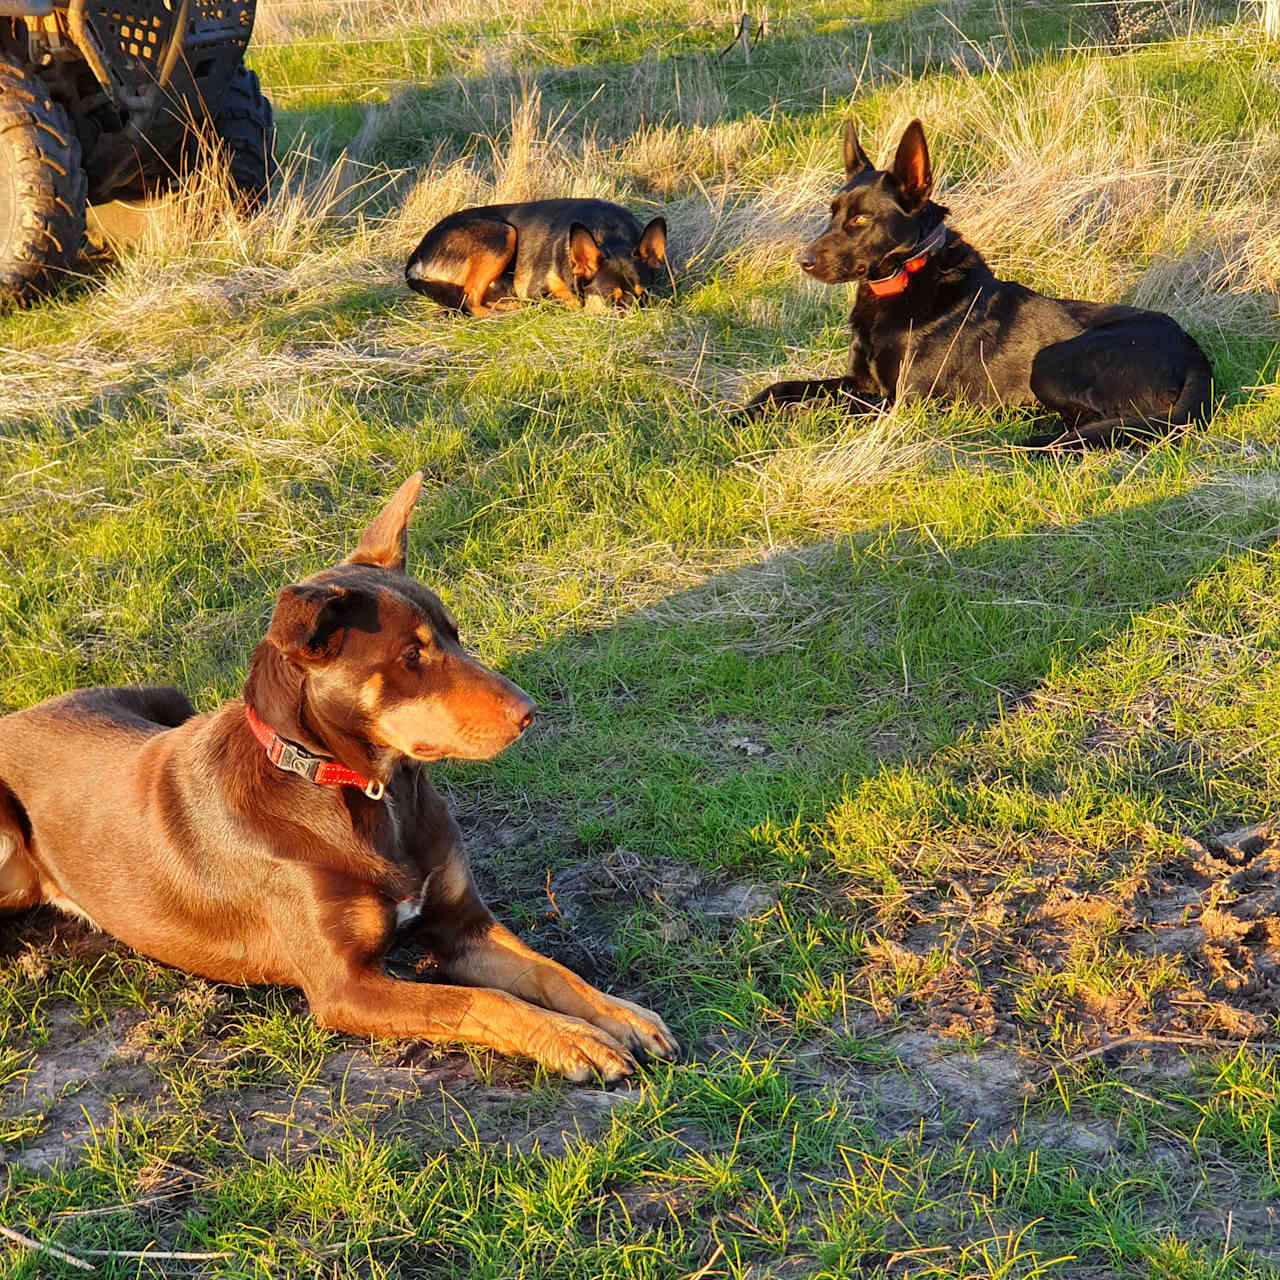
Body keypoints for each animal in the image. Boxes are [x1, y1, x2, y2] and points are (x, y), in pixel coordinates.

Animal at [0, 478, 680, 1080]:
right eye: (412, 655)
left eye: (455, 635)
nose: (529, 712)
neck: (366, 791)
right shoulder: (346, 987)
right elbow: (479, 1001)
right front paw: (574, 1040)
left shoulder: (461, 927)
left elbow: (548, 970)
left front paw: (621, 1016)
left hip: (167, 697)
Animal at [407, 200, 670, 322]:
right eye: (609, 299)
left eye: (645, 295)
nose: (638, 321)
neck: (610, 233)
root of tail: (416, 257)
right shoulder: (537, 288)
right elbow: (570, 302)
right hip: (503, 235)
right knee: (469, 300)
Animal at [737, 120, 1213, 450]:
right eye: (832, 211)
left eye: (860, 220)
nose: (803, 261)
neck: (904, 278)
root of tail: (1193, 352)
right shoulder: (863, 384)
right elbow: (782, 388)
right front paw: (738, 415)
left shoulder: (902, 403)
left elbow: (818, 406)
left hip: (1051, 361)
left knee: (1118, 423)